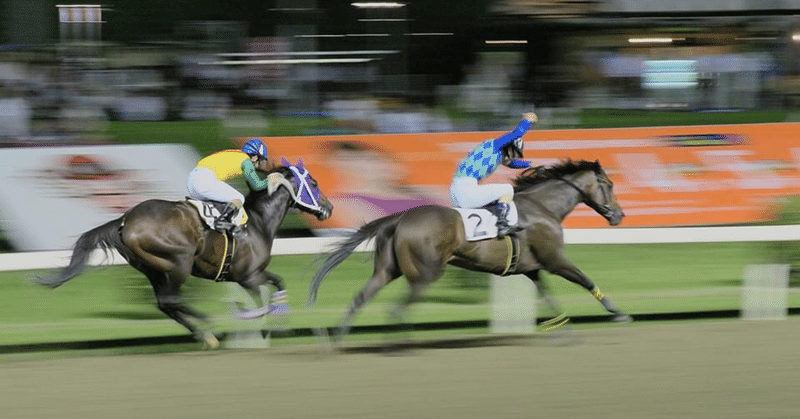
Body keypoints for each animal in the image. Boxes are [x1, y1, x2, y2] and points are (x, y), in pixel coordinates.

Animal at [36, 158, 332, 348]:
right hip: (179, 261)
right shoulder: (249, 277)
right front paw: (264, 327)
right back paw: (208, 324)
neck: (258, 220)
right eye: (315, 183)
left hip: (152, 269)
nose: (328, 208)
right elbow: (263, 301)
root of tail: (125, 219)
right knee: (171, 299)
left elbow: (278, 284)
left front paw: (279, 325)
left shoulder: (252, 273)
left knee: (165, 303)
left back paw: (205, 335)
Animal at [310, 160, 632, 342]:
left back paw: (339, 337)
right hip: (426, 272)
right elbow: (586, 280)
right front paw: (617, 312)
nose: (619, 215)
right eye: (609, 184)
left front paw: (564, 329)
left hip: (388, 269)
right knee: (397, 308)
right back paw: (399, 344)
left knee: (361, 297)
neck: (543, 207)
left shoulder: (532, 269)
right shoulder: (555, 260)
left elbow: (549, 298)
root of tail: (399, 218)